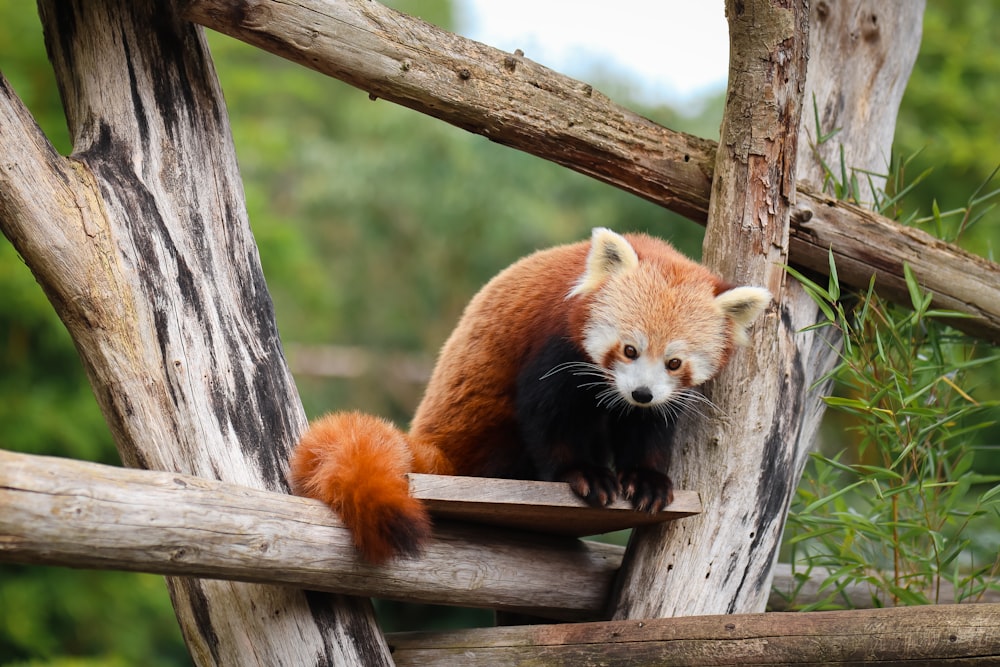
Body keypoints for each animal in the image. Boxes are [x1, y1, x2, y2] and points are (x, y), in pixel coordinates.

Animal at [290, 228, 772, 564]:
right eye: (630, 350)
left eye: (674, 363)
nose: (640, 392)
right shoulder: (554, 345)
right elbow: (549, 415)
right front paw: (584, 474)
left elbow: (647, 427)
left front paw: (646, 479)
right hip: (483, 433)